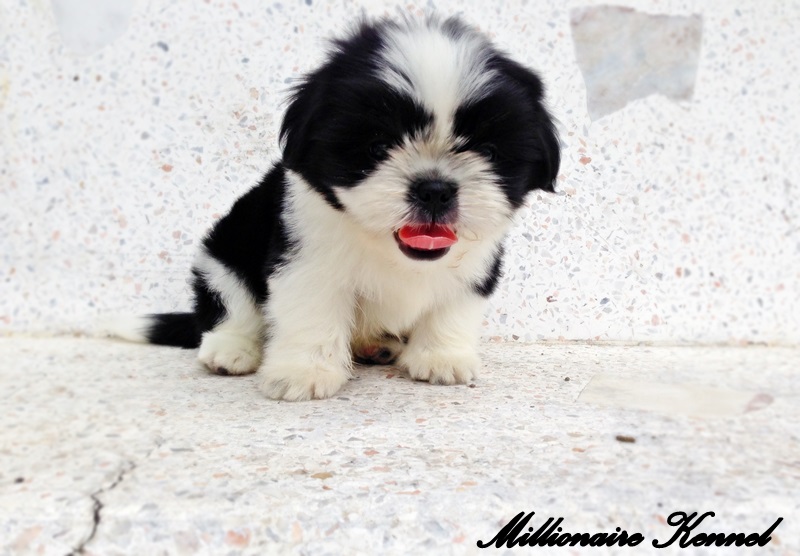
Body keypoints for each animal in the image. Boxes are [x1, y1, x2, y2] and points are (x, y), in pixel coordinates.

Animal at [111, 16, 560, 400]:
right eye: (377, 147)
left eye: (489, 152)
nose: (434, 189)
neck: (387, 248)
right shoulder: (305, 257)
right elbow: (313, 309)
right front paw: (304, 372)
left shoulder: (476, 264)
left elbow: (453, 305)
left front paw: (442, 357)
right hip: (223, 253)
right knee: (231, 302)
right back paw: (230, 349)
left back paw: (375, 344)